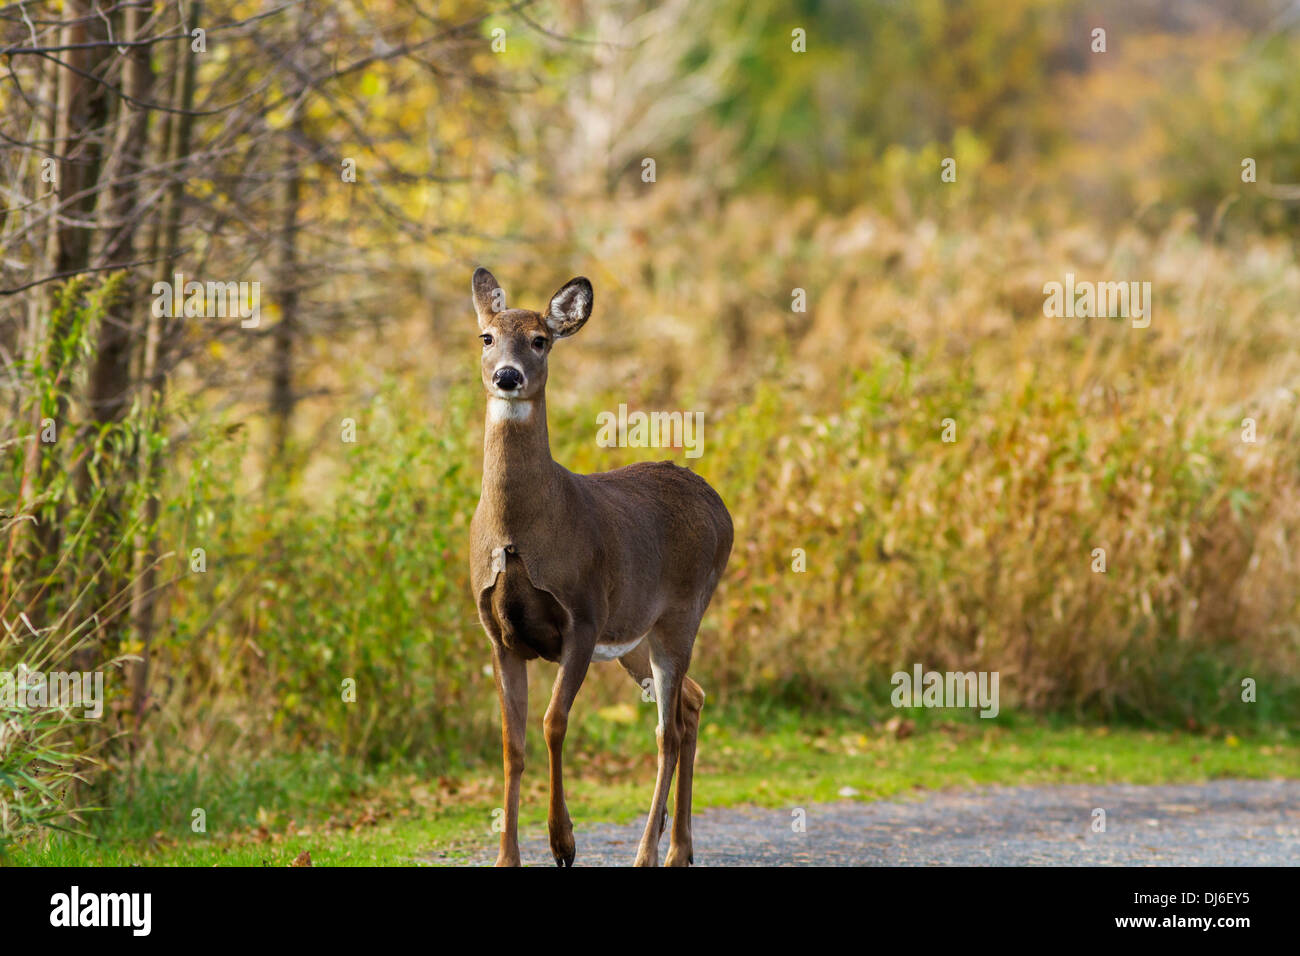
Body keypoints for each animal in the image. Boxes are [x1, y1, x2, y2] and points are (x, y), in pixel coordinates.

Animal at [468, 267, 733, 867]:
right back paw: (678, 848)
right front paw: (507, 857)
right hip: (634, 636)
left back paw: (648, 853)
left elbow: (553, 723)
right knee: (691, 702)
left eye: (540, 340)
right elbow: (511, 743)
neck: (518, 531)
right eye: (487, 337)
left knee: (666, 731)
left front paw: (563, 840)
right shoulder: (499, 632)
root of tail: (720, 507)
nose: (508, 376)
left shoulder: (583, 618)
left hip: (681, 613)